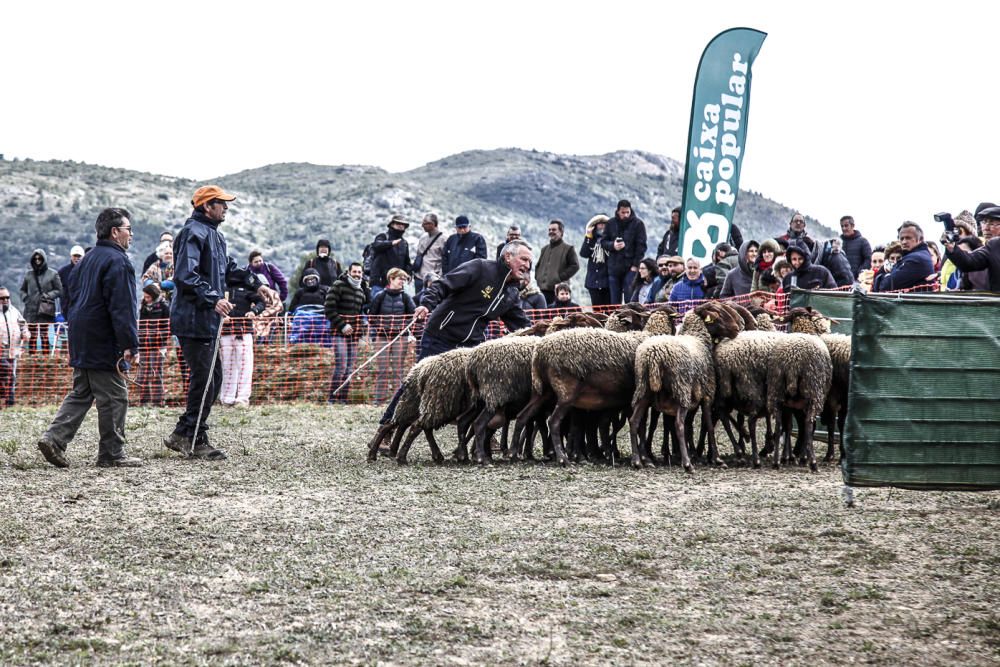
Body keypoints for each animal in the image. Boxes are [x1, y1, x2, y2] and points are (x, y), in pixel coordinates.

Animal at [516, 306, 680, 464]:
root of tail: (540, 353)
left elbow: (602, 424)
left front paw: (602, 452)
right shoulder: (637, 399)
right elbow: (639, 425)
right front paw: (644, 457)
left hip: (543, 392)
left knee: (523, 416)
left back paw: (515, 454)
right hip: (566, 394)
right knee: (553, 422)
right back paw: (563, 458)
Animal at [632, 302, 744, 470]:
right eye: (718, 314)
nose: (738, 327)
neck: (698, 337)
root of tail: (654, 355)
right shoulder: (707, 394)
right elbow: (708, 425)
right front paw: (717, 459)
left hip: (644, 390)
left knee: (634, 421)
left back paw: (637, 460)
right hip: (681, 389)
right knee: (678, 424)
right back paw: (687, 464)